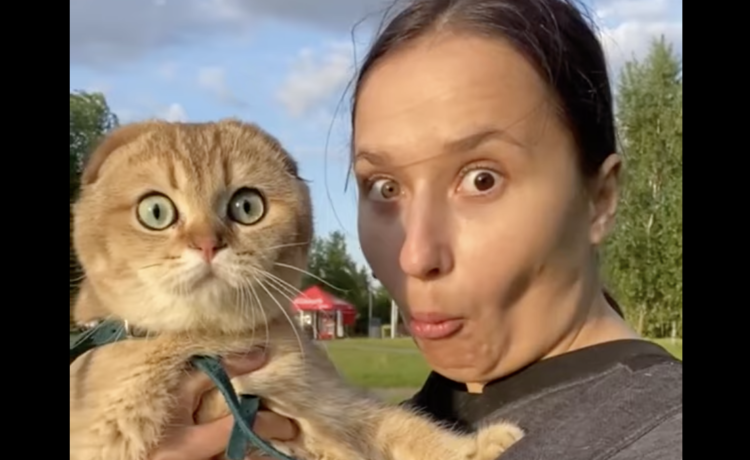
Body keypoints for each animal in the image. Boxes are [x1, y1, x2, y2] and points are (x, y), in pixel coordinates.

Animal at [70, 119, 524, 460]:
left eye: (247, 206)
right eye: (156, 211)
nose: (208, 244)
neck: (210, 344)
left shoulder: (335, 404)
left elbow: (404, 428)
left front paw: (478, 446)